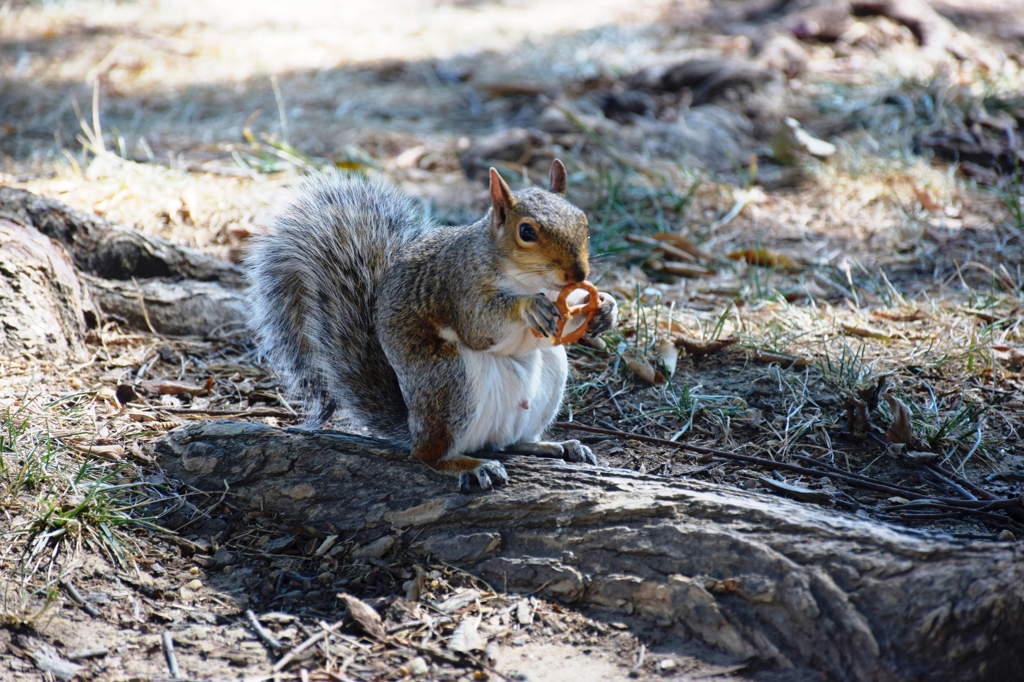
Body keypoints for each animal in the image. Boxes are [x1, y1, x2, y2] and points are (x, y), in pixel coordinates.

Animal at [246, 159, 614, 489]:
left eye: (582, 220)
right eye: (526, 231)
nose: (579, 273)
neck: (528, 279)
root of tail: (413, 426)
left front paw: (604, 309)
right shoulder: (458, 287)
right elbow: (480, 327)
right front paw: (530, 306)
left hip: (549, 375)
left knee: (510, 442)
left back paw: (559, 446)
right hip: (451, 381)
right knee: (428, 455)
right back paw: (470, 465)